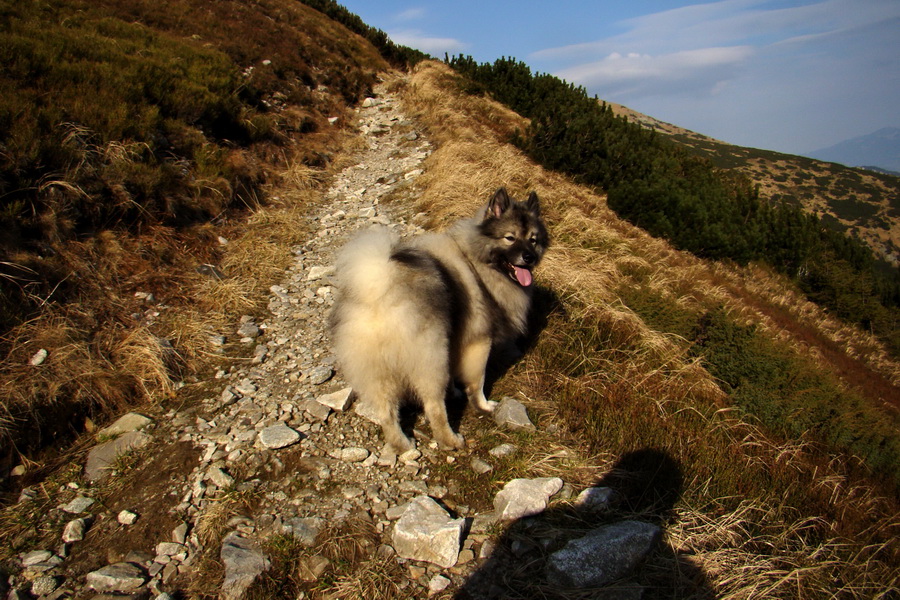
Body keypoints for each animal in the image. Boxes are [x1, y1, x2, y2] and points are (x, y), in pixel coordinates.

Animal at [326, 188, 544, 450]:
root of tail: (378, 289)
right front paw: (483, 405)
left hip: (378, 372)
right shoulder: (478, 342)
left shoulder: (455, 342)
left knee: (387, 413)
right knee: (433, 406)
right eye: (510, 238)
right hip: (431, 358)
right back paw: (450, 439)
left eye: (533, 239)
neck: (476, 260)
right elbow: (477, 382)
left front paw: (455, 392)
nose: (529, 257)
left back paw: (402, 445)